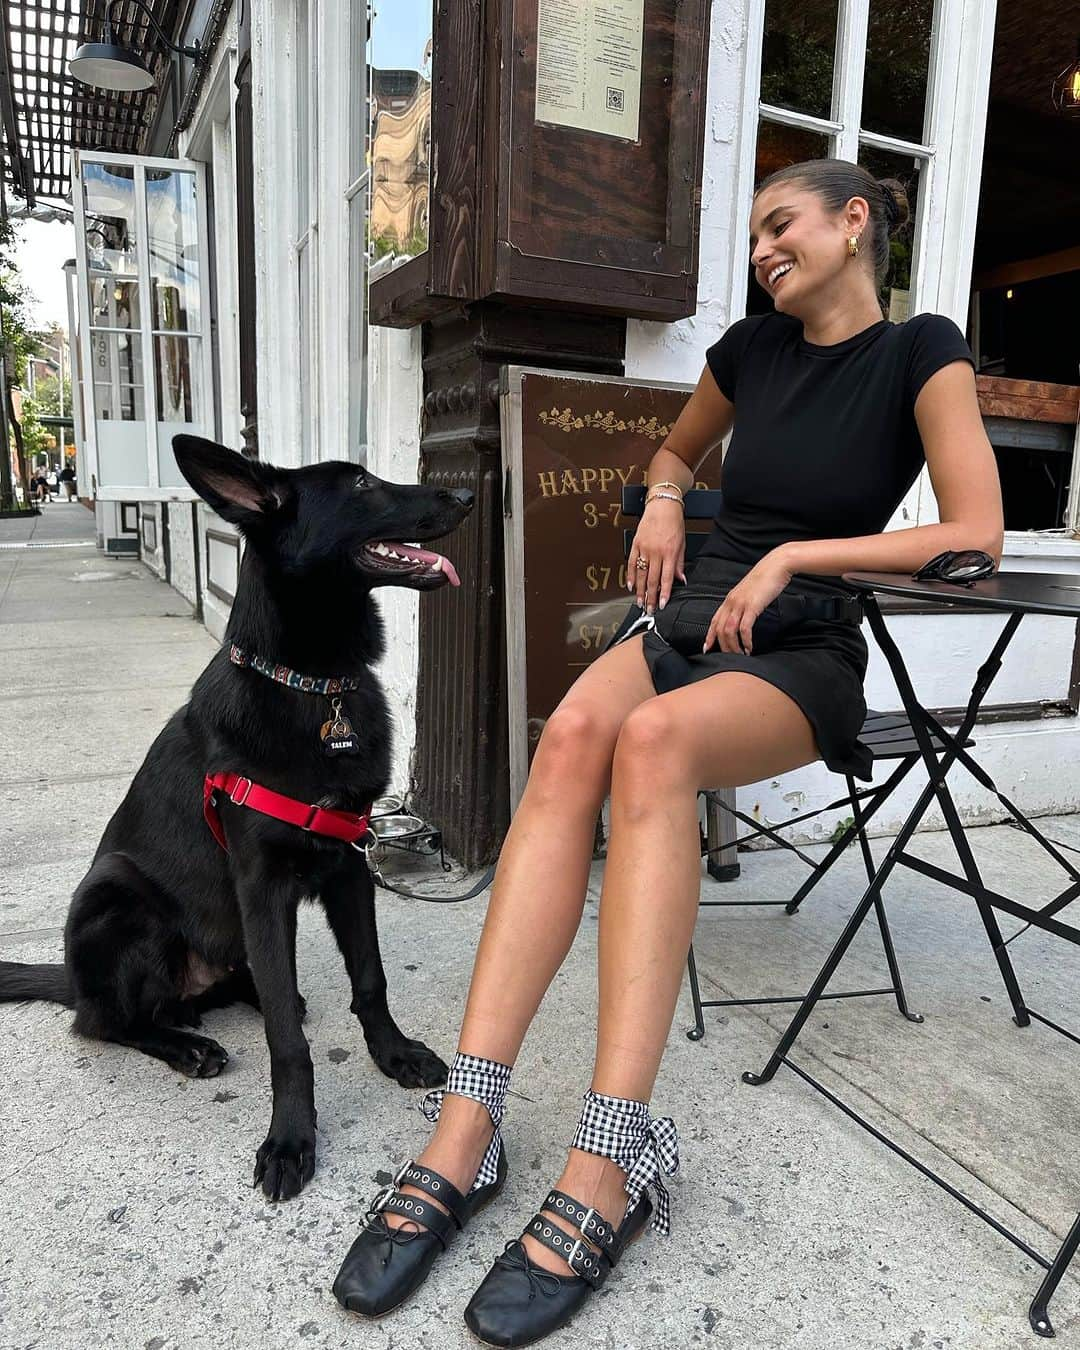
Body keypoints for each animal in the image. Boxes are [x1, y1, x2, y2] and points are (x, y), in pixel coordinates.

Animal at [0, 440, 472, 1204]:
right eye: (361, 484)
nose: (466, 497)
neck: (315, 690)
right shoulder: (263, 889)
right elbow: (286, 1042)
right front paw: (291, 1140)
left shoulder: (350, 869)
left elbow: (370, 981)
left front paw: (393, 1053)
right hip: (113, 893)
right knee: (108, 1021)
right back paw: (185, 1045)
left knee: (228, 987)